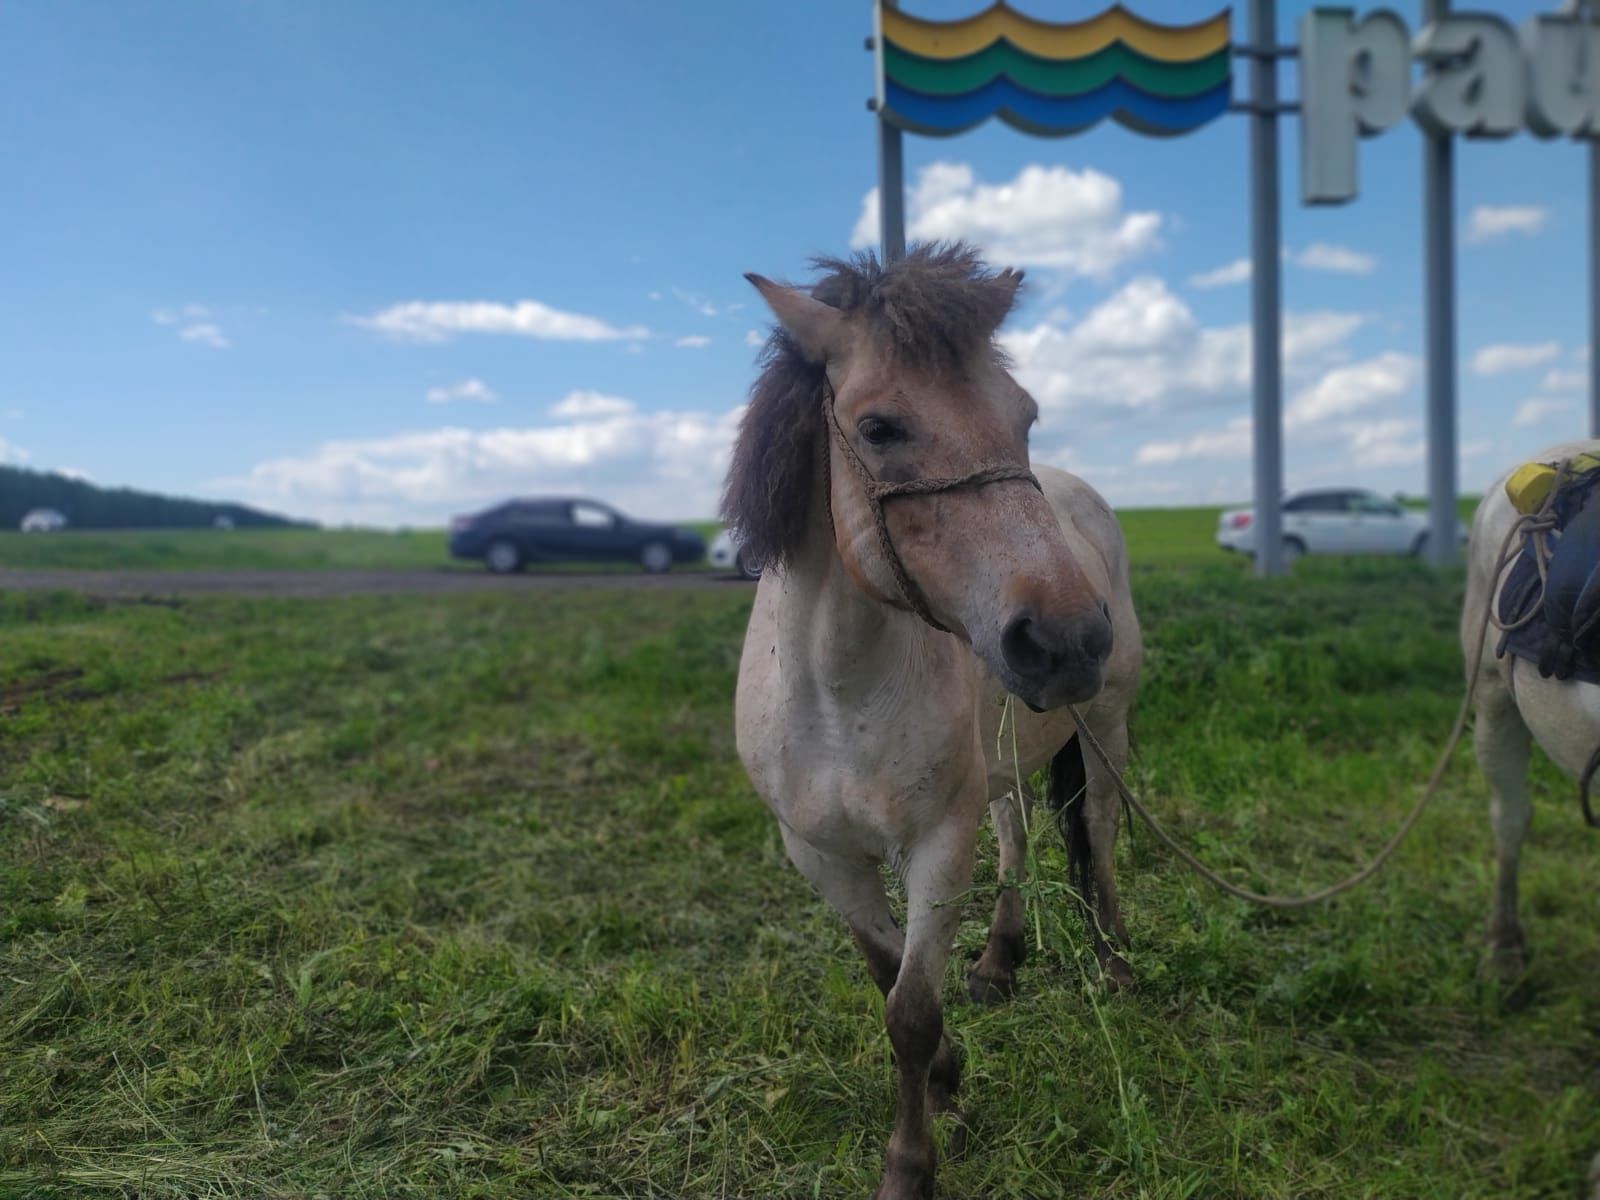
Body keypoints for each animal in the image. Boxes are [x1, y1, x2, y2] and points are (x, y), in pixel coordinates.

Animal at [720, 246, 1145, 1200]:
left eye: (1024, 418)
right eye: (880, 429)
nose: (1068, 639)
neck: (840, 693)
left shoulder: (937, 846)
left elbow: (910, 1009)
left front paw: (911, 1165)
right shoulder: (821, 855)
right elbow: (886, 978)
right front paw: (950, 1074)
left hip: (1102, 727)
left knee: (1096, 832)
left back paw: (1112, 962)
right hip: (1009, 750)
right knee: (1019, 835)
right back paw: (998, 961)